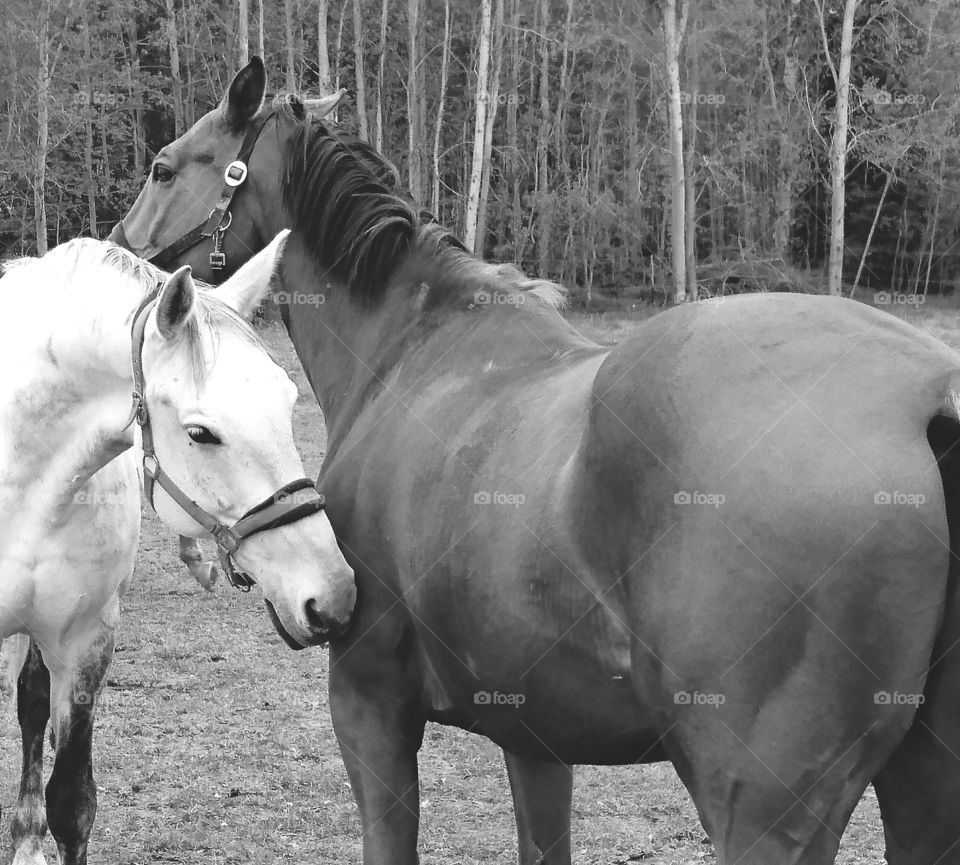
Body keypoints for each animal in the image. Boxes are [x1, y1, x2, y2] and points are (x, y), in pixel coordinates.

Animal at [111, 59, 960, 865]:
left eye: (163, 166)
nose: (121, 257)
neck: (411, 347)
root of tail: (929, 395)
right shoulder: (535, 735)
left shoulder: (367, 702)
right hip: (919, 793)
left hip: (760, 813)